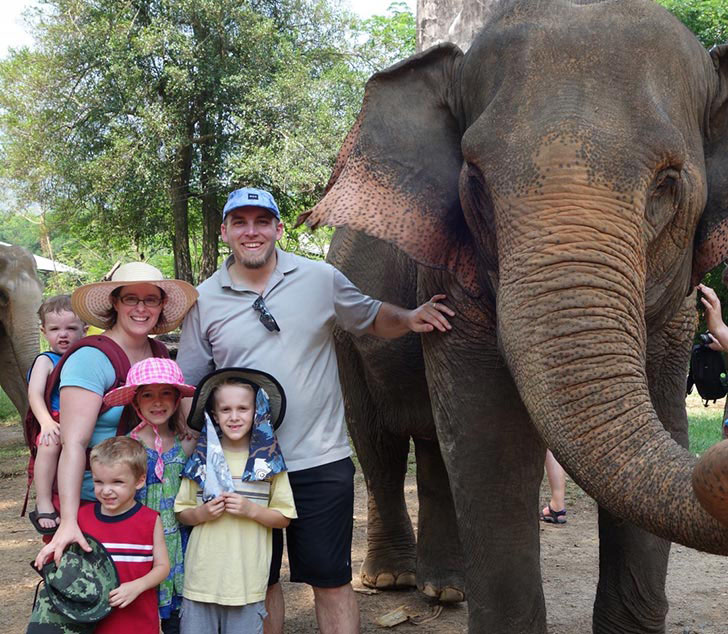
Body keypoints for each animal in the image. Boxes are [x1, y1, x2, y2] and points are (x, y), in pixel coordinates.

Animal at [298, 1, 728, 632]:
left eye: (668, 184)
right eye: (474, 180)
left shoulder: (675, 311)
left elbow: (665, 419)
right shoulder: (452, 279)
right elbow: (489, 441)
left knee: (433, 445)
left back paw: (445, 589)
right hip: (343, 337)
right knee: (377, 443)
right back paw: (392, 580)